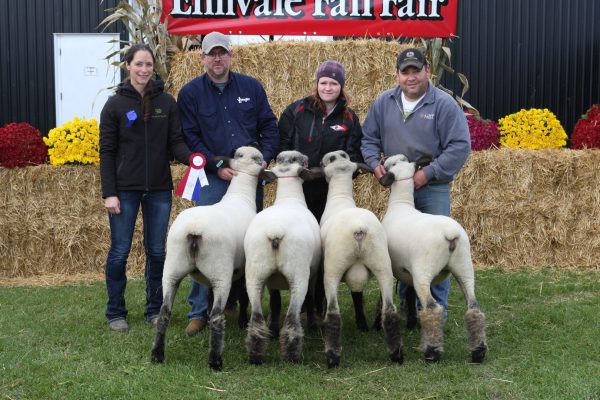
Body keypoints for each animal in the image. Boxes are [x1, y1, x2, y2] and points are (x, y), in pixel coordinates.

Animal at [151, 145, 264, 370]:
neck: (240, 195)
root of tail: (194, 231)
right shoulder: (244, 267)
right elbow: (243, 297)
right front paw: (242, 322)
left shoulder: (210, 277)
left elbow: (210, 298)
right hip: (221, 272)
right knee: (217, 316)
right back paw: (215, 361)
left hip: (172, 269)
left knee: (164, 312)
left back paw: (157, 355)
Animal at [243, 150, 322, 366]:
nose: (308, 158)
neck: (289, 198)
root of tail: (275, 231)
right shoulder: (313, 272)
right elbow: (311, 299)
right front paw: (313, 324)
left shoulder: (271, 280)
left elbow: (275, 302)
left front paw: (273, 328)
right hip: (298, 274)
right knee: (293, 318)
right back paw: (292, 356)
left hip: (254, 273)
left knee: (256, 318)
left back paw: (256, 354)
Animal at [318, 150, 404, 368]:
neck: (340, 197)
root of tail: (359, 229)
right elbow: (357, 295)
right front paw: (362, 323)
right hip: (383, 265)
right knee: (389, 311)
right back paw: (397, 355)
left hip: (333, 268)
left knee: (334, 313)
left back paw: (332, 357)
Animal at [382, 154, 490, 362]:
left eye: (391, 164)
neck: (401, 204)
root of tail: (450, 234)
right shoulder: (407, 273)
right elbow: (410, 296)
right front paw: (413, 322)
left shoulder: (395, 269)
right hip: (464, 267)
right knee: (474, 307)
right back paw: (478, 352)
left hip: (423, 272)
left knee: (433, 309)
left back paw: (432, 352)